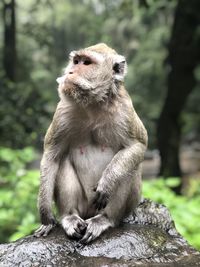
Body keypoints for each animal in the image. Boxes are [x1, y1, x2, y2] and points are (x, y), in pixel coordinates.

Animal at [34, 42, 147, 245]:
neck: (94, 103)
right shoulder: (62, 111)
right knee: (62, 161)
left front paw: (107, 182)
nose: (70, 72)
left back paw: (104, 219)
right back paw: (70, 217)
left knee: (129, 169)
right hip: (83, 205)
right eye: (76, 61)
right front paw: (46, 216)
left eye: (86, 63)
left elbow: (137, 145)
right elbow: (52, 156)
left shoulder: (125, 109)